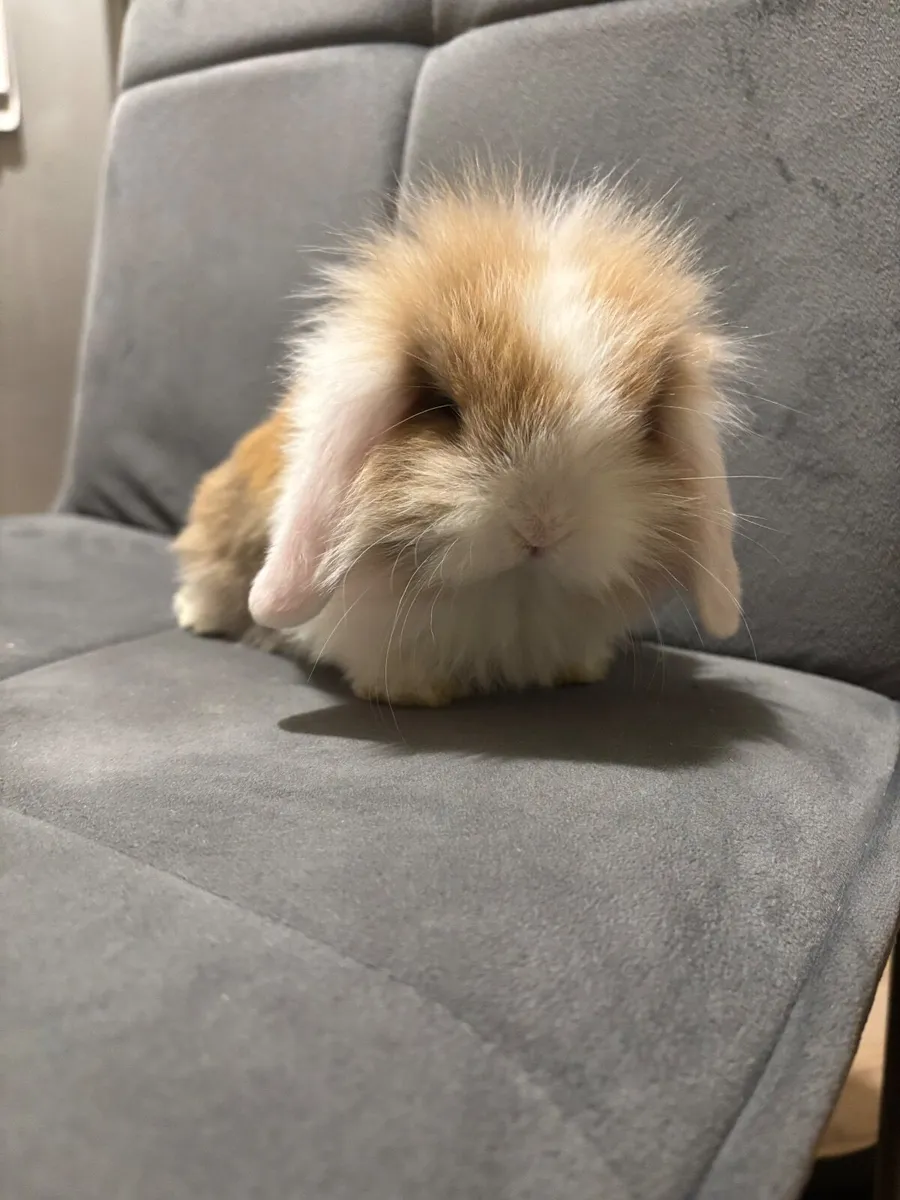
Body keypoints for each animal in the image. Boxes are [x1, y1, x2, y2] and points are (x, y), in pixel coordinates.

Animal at [173, 175, 742, 707]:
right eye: (442, 406)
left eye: (643, 422)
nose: (542, 527)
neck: (510, 597)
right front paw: (415, 693)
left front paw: (577, 672)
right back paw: (193, 617)